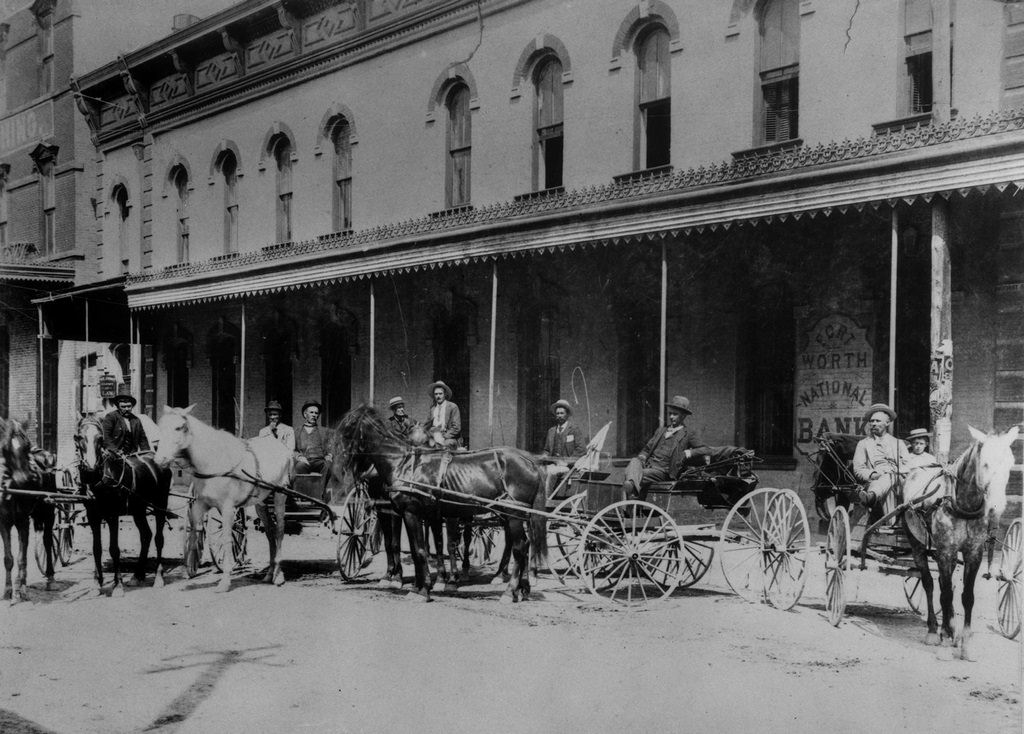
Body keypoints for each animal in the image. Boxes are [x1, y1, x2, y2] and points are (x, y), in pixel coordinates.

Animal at [0, 417, 56, 601]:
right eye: (4, 448)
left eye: (26, 446)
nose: (25, 479)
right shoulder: (4, 524)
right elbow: (9, 558)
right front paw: (8, 590)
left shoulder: (23, 522)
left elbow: (21, 558)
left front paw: (22, 590)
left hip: (48, 512)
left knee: (47, 541)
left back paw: (50, 579)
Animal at [150, 403, 292, 593]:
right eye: (160, 427)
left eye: (179, 427)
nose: (160, 460)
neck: (214, 461)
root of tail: (282, 448)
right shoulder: (199, 505)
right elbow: (195, 533)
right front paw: (189, 570)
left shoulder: (227, 509)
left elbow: (226, 539)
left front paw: (225, 581)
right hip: (261, 502)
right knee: (270, 531)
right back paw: (269, 575)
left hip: (279, 495)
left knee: (280, 530)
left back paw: (279, 576)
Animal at [331, 407, 548, 601]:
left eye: (348, 426)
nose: (335, 458)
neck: (404, 464)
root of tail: (530, 461)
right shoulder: (415, 514)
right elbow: (417, 548)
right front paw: (420, 586)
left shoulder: (412, 513)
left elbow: (422, 550)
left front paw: (424, 590)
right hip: (510, 514)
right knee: (522, 544)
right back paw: (521, 588)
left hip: (513, 514)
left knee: (520, 547)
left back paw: (510, 591)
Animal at [901, 423, 1019, 659]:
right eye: (985, 463)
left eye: (1010, 463)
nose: (997, 506)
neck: (963, 505)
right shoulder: (945, 551)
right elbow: (945, 595)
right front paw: (946, 642)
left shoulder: (973, 554)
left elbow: (966, 596)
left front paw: (965, 644)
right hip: (918, 546)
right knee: (929, 584)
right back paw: (934, 631)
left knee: (944, 584)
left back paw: (950, 629)